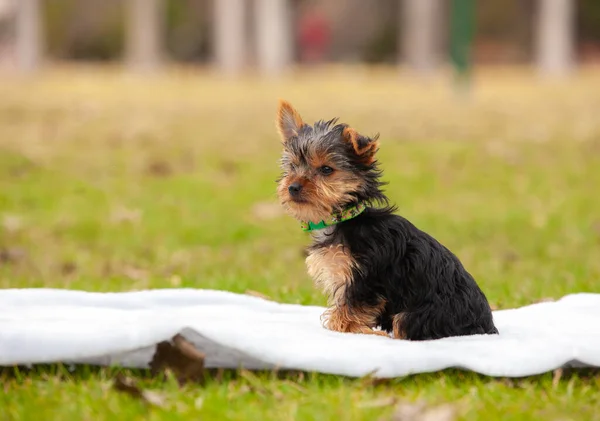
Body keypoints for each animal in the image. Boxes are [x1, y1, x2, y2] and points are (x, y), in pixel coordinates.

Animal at [276, 100, 496, 340]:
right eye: (292, 167)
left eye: (326, 169)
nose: (293, 187)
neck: (345, 218)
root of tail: (487, 327)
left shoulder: (365, 278)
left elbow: (351, 308)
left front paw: (343, 326)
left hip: (419, 316)